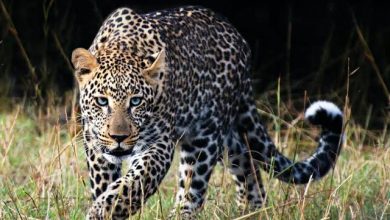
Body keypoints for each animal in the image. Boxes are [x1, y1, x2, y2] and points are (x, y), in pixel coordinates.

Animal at [71, 4, 344, 218]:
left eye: (136, 101)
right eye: (102, 101)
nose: (119, 137)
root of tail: (240, 41)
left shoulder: (159, 142)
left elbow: (135, 182)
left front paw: (103, 210)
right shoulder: (95, 143)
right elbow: (105, 183)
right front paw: (103, 205)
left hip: (206, 138)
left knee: (192, 192)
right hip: (229, 143)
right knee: (248, 170)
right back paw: (250, 212)